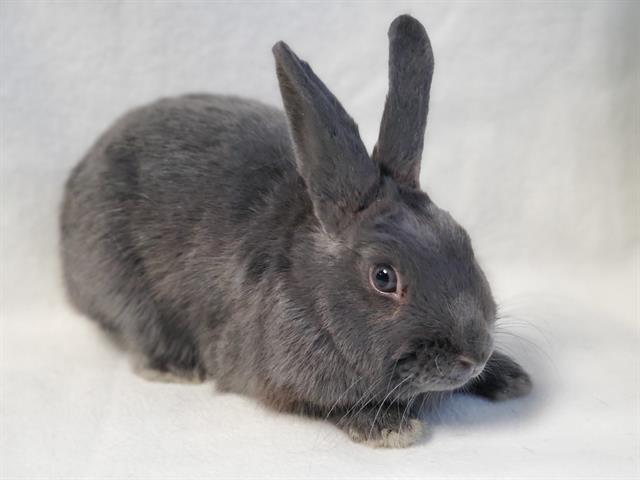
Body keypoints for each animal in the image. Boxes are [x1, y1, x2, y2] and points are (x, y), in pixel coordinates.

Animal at [60, 15, 532, 448]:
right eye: (384, 277)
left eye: (463, 240)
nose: (474, 355)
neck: (308, 282)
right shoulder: (282, 381)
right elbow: (331, 406)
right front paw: (390, 427)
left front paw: (511, 376)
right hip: (120, 285)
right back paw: (175, 367)